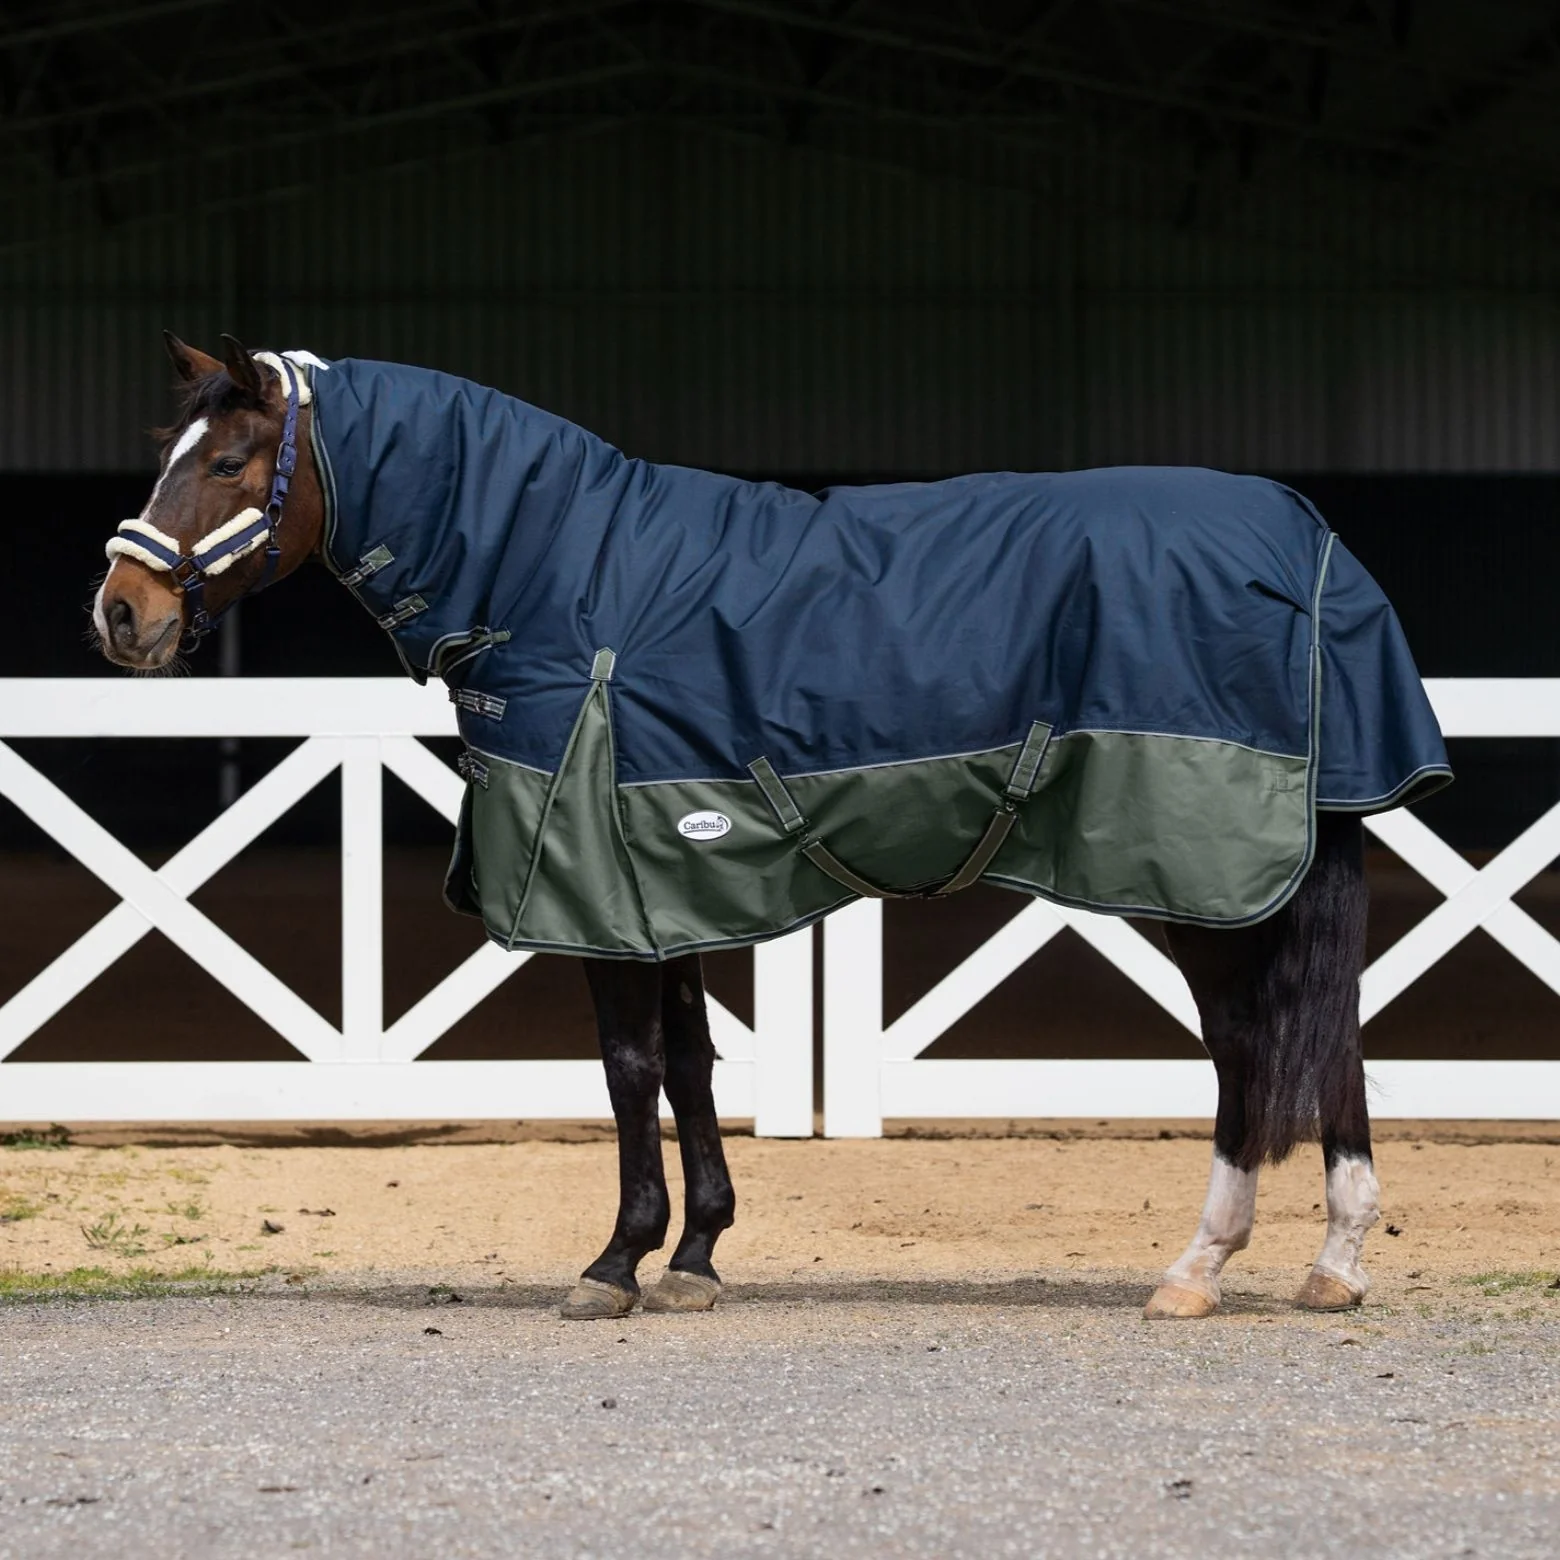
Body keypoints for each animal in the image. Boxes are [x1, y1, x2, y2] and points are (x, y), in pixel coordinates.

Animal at [92, 333, 1450, 1321]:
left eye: (231, 463)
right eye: (172, 453)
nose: (121, 614)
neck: (565, 578)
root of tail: (1308, 542)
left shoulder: (595, 888)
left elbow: (630, 1067)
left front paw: (615, 1264)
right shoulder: (655, 880)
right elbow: (692, 1064)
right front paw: (695, 1255)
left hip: (1204, 881)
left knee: (1252, 1050)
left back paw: (1201, 1268)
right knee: (1323, 1040)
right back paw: (1332, 1264)